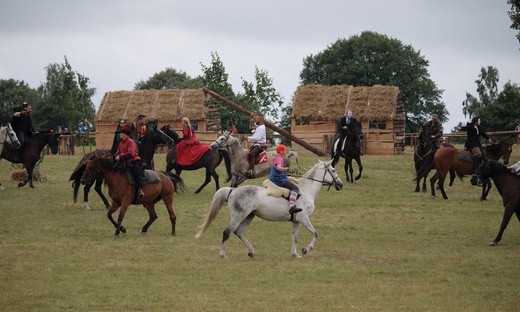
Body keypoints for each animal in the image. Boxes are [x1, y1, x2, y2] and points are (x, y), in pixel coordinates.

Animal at [195, 158, 342, 258]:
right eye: (333, 170)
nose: (341, 184)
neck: (306, 190)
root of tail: (233, 190)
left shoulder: (296, 221)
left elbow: (294, 238)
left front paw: (295, 254)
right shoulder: (303, 218)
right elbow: (315, 233)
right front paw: (306, 249)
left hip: (249, 216)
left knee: (239, 232)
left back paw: (251, 252)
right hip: (238, 216)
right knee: (227, 232)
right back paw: (223, 255)